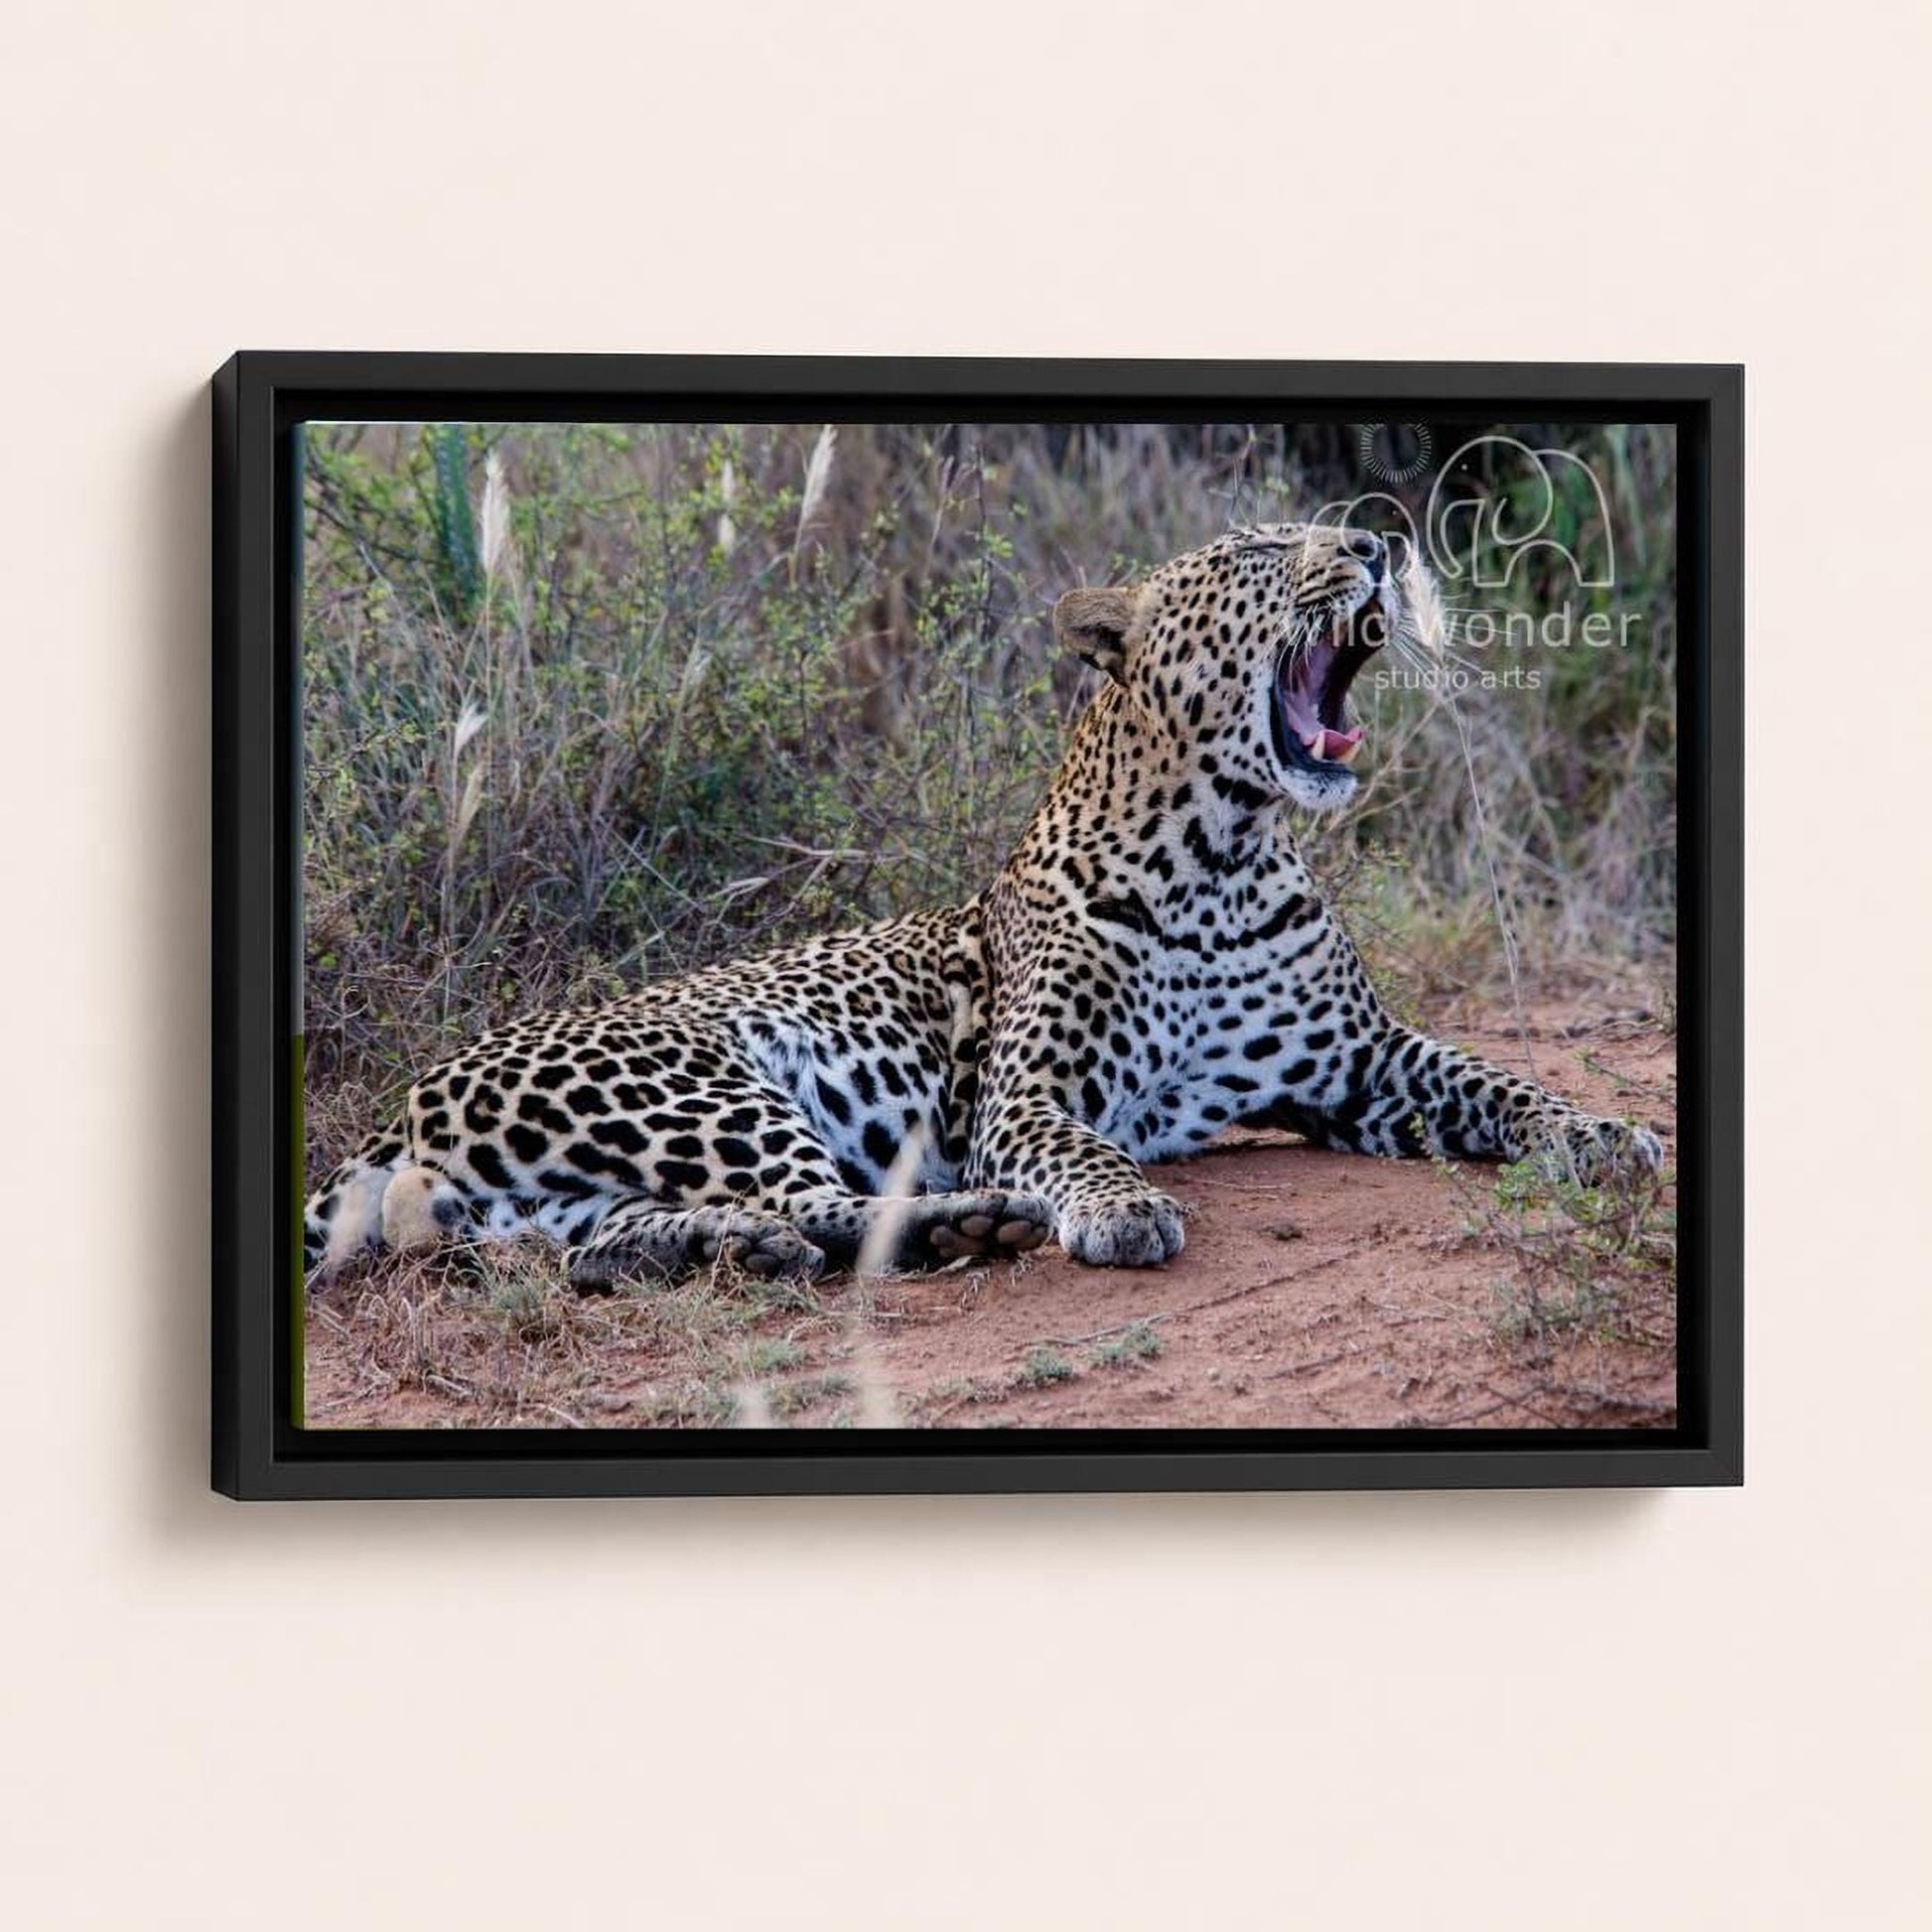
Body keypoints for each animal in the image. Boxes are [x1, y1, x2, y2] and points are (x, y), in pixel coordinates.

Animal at [305, 522, 1661, 1290]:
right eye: (1266, 552)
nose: (1376, 550)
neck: (1220, 856)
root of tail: (401, 1102)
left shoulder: (1360, 1063)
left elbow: (1496, 1079)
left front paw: (1603, 1132)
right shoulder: (1025, 1094)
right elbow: (1081, 1146)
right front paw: (1120, 1206)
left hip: (565, 1191)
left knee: (621, 1241)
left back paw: (718, 1251)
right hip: (701, 1083)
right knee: (826, 1200)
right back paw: (971, 1225)